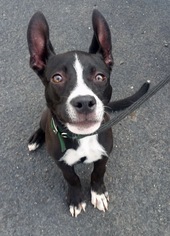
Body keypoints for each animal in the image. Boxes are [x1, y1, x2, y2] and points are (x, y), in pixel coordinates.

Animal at [26, 9, 150, 217]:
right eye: (57, 78)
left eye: (100, 77)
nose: (84, 102)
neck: (83, 137)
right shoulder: (62, 162)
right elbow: (72, 178)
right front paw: (76, 199)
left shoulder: (103, 155)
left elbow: (97, 173)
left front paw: (98, 193)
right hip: (45, 116)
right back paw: (35, 139)